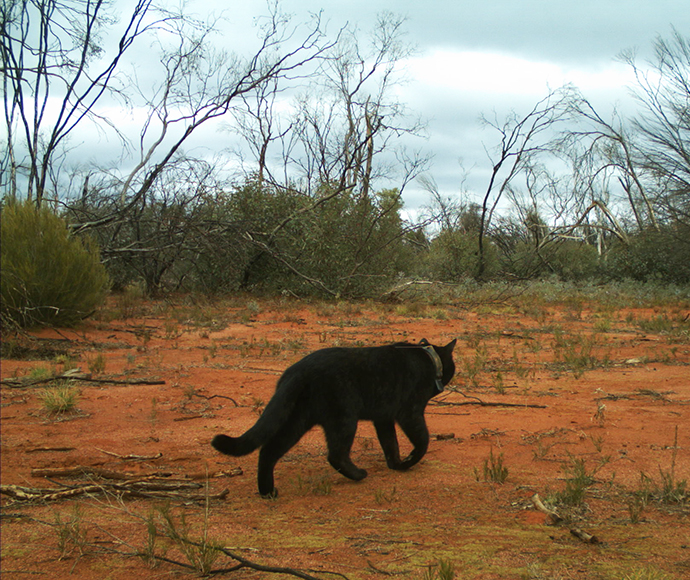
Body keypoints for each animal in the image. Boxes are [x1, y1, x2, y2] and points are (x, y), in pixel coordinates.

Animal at [212, 338, 454, 496]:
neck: (428, 357)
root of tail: (298, 370)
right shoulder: (410, 412)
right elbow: (422, 440)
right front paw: (410, 461)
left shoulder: (383, 418)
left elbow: (390, 443)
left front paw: (396, 464)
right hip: (343, 419)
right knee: (336, 455)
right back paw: (359, 475)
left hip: (297, 420)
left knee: (268, 450)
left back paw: (267, 492)